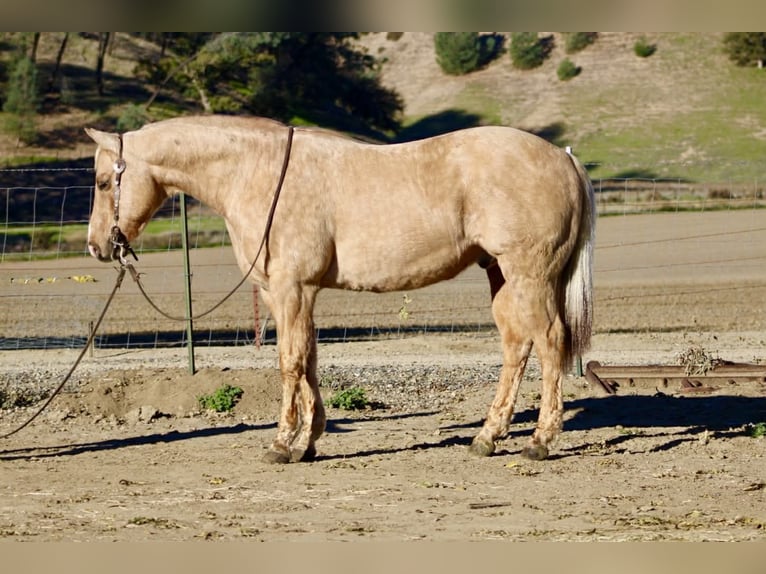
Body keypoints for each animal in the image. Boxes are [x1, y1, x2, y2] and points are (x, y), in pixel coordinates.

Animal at [85, 115, 595, 463]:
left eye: (104, 181)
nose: (96, 246)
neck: (258, 173)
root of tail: (564, 158)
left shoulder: (292, 289)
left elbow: (290, 363)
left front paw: (281, 444)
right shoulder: (290, 294)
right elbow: (308, 359)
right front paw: (308, 442)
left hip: (530, 275)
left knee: (550, 340)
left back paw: (540, 440)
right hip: (502, 275)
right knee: (517, 345)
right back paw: (487, 436)